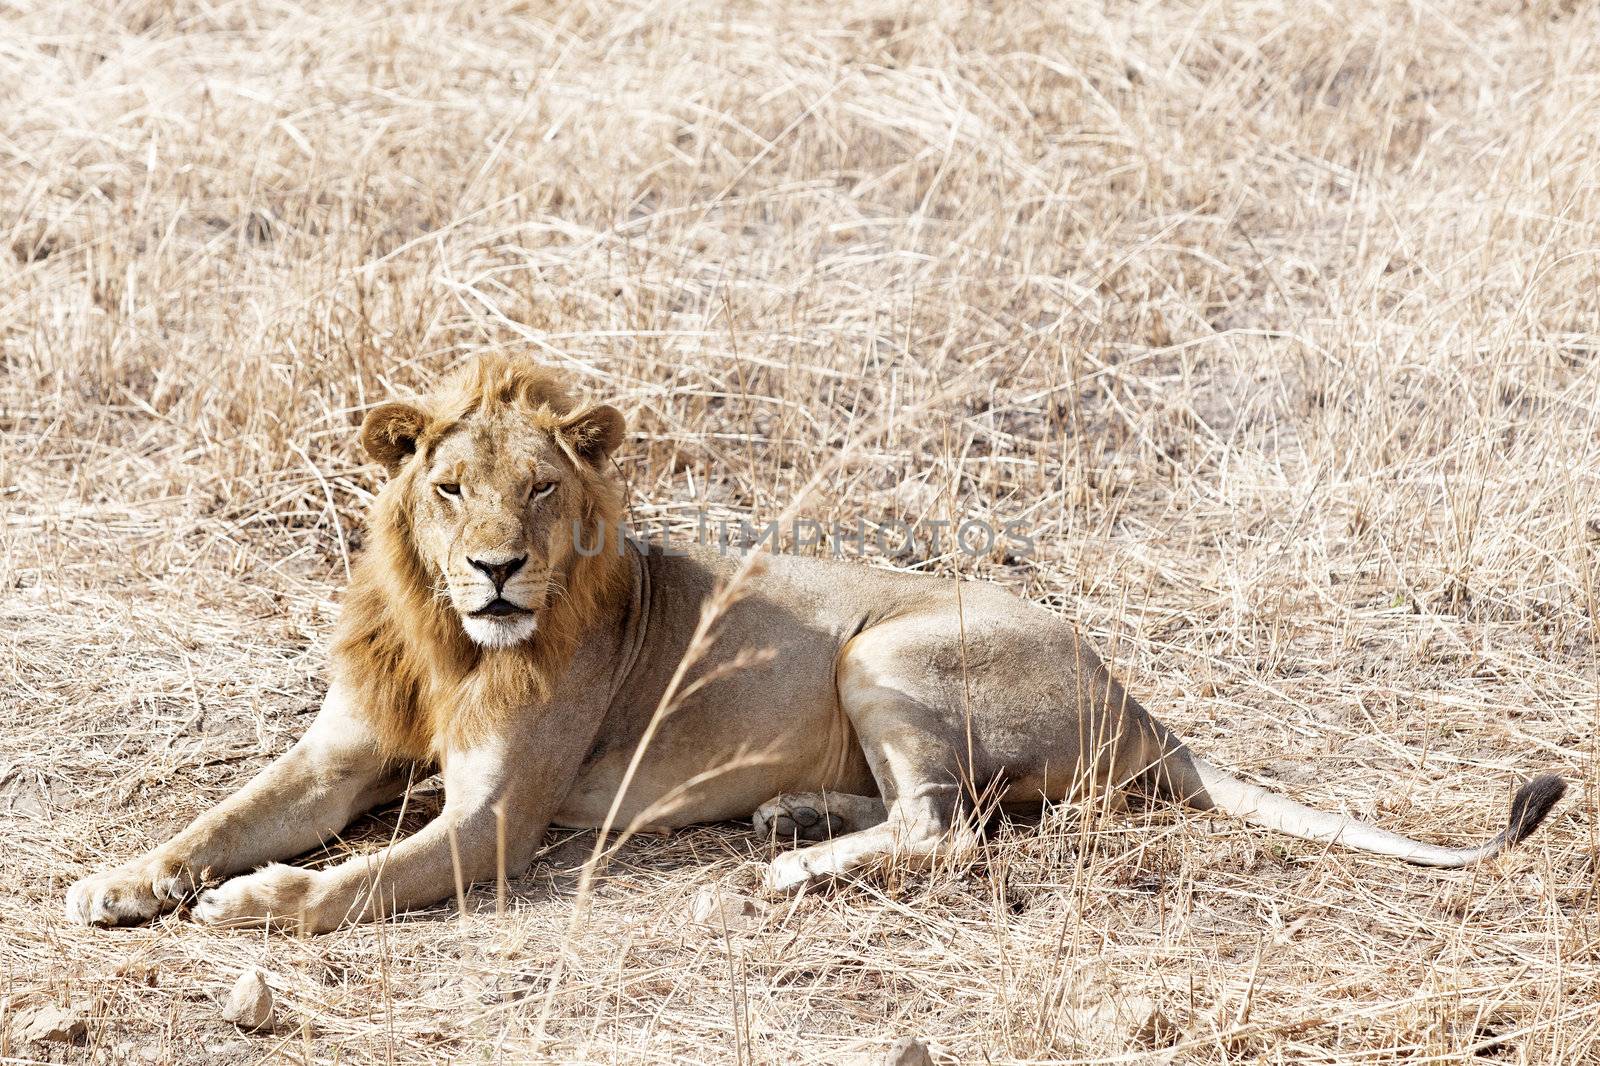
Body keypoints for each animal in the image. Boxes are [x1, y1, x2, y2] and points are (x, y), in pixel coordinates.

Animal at [68, 352, 1568, 928]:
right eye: (449, 489)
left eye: (541, 489)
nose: (497, 567)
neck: (453, 634)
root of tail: (1147, 705)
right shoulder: (342, 751)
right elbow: (223, 813)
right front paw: (125, 878)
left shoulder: (502, 819)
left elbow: (361, 878)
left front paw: (261, 904)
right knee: (946, 811)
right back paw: (790, 816)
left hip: (880, 648)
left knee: (945, 830)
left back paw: (789, 868)